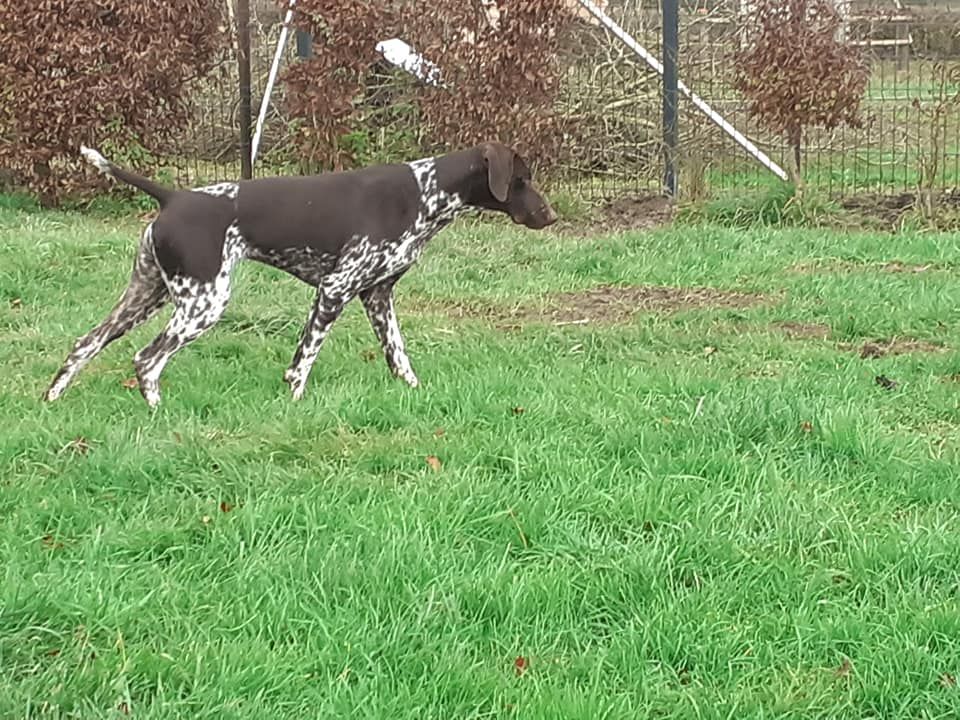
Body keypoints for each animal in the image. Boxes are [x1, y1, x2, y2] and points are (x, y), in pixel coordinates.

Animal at [43, 143, 556, 408]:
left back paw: (52, 399)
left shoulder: (377, 296)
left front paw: (414, 394)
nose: (551, 216)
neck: (424, 193)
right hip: (202, 305)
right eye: (522, 179)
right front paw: (295, 401)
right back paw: (157, 414)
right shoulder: (335, 289)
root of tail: (172, 197)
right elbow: (304, 359)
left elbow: (399, 357)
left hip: (145, 296)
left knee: (84, 344)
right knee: (147, 360)